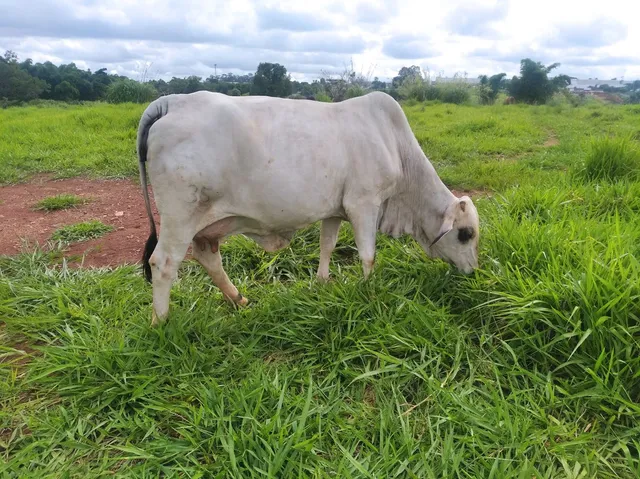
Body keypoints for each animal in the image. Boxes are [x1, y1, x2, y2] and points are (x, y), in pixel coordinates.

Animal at [137, 91, 480, 325]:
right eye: (466, 234)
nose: (472, 272)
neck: (395, 146)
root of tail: (171, 102)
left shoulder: (335, 211)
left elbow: (327, 245)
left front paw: (323, 282)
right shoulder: (364, 203)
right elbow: (368, 255)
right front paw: (368, 290)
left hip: (206, 224)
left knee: (208, 258)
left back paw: (239, 300)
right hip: (181, 216)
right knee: (163, 263)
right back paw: (161, 322)